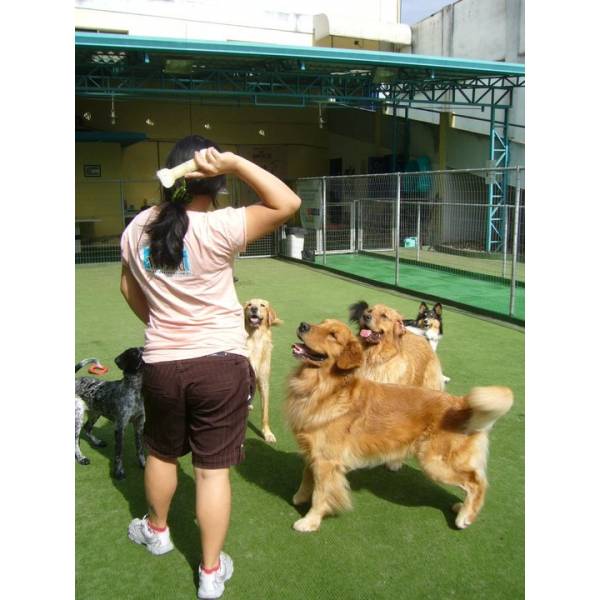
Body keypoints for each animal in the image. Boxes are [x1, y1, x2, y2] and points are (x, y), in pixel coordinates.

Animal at [75, 346, 146, 478]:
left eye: (142, 349)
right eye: (135, 353)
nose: (145, 348)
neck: (135, 390)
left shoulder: (139, 424)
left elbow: (140, 449)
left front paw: (143, 464)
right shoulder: (120, 427)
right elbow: (119, 453)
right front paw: (119, 472)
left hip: (96, 412)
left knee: (87, 428)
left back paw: (97, 442)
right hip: (78, 416)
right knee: (76, 439)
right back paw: (81, 458)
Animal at [243, 298, 282, 442]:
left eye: (262, 305)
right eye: (249, 305)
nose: (254, 309)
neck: (255, 340)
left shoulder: (264, 381)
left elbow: (265, 412)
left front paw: (267, 433)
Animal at [286, 322, 510, 532]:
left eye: (332, 335)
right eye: (321, 323)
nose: (303, 325)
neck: (326, 389)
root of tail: (461, 403)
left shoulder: (327, 461)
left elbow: (320, 494)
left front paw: (310, 521)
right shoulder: (313, 454)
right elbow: (307, 479)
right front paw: (300, 497)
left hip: (435, 463)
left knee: (477, 483)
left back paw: (465, 516)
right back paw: (461, 508)